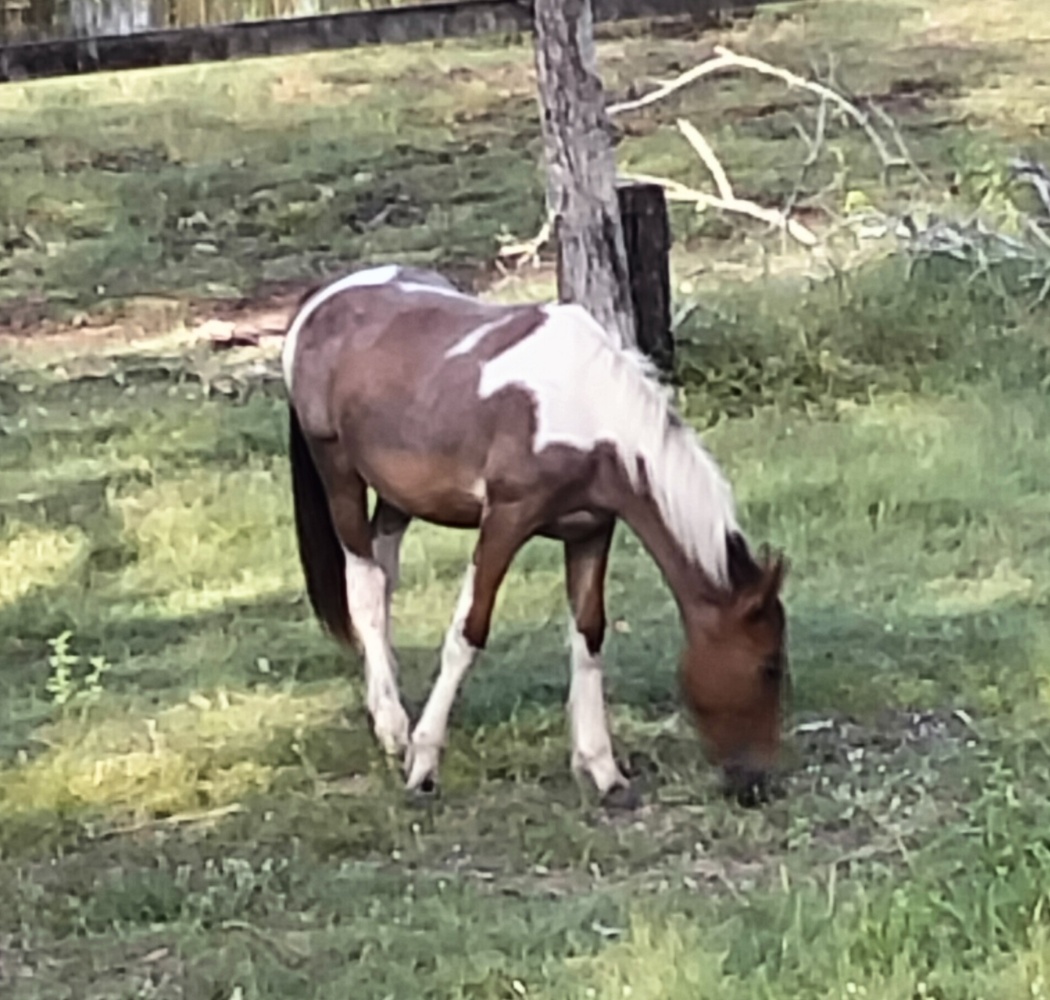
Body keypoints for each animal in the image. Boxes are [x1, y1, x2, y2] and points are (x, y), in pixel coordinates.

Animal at [282, 263, 789, 808]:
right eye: (768, 666)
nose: (756, 784)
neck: (588, 410)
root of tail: (320, 300)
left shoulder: (591, 529)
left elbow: (588, 635)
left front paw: (602, 769)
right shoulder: (505, 520)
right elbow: (467, 633)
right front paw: (423, 765)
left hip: (399, 497)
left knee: (384, 575)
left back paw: (384, 710)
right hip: (339, 474)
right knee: (366, 589)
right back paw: (395, 729)